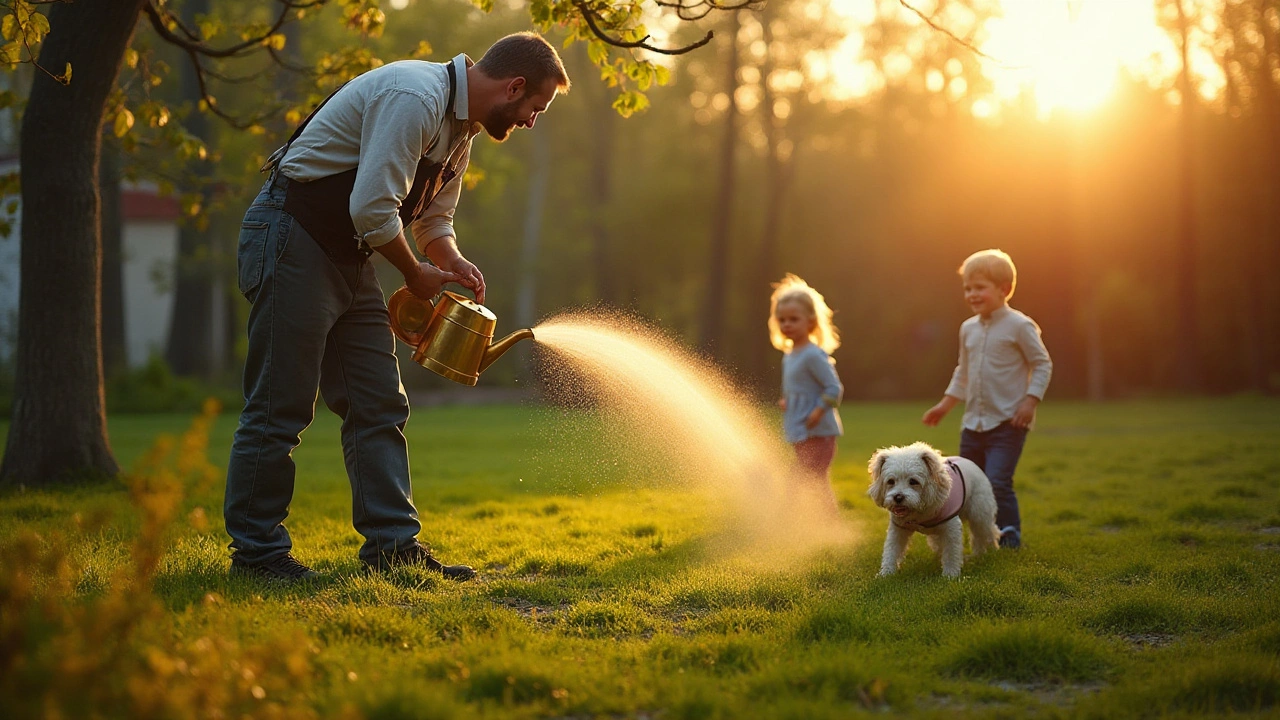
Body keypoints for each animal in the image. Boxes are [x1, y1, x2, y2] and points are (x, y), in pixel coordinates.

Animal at [865, 440, 1003, 573]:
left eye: (913, 481)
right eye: (891, 481)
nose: (898, 497)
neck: (920, 510)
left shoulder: (951, 528)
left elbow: (951, 553)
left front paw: (950, 575)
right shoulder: (898, 529)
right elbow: (891, 551)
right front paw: (886, 573)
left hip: (980, 515)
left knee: (985, 534)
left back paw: (984, 553)